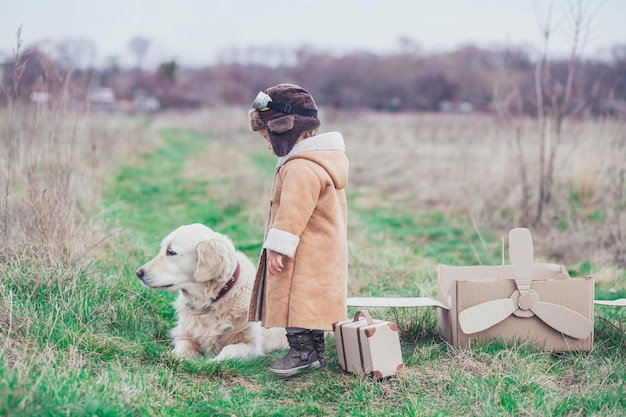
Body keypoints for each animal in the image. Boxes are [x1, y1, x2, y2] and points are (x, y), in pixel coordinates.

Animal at [135, 223, 286, 360]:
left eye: (170, 251)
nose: (139, 273)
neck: (209, 302)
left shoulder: (251, 344)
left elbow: (230, 350)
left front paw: (214, 362)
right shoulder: (183, 335)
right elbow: (181, 348)